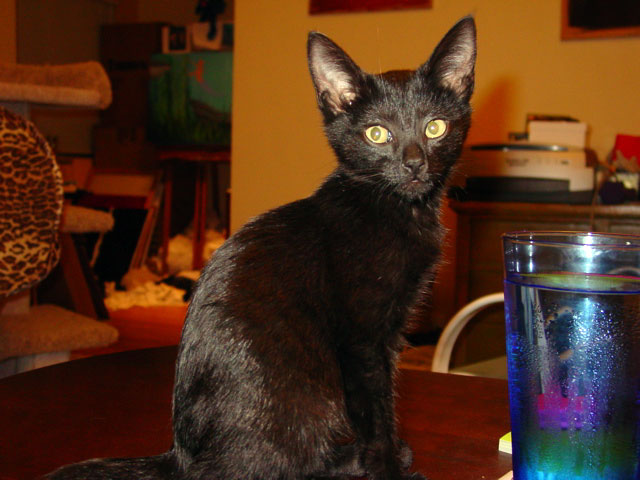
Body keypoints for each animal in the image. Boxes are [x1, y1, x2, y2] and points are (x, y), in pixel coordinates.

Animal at [46, 16, 476, 480]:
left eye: (435, 127)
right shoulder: (361, 339)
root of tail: (180, 457)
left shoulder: (390, 336)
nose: (413, 164)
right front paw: (387, 466)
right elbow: (376, 414)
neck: (394, 208)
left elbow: (388, 405)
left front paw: (390, 455)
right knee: (274, 465)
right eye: (377, 134)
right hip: (303, 400)